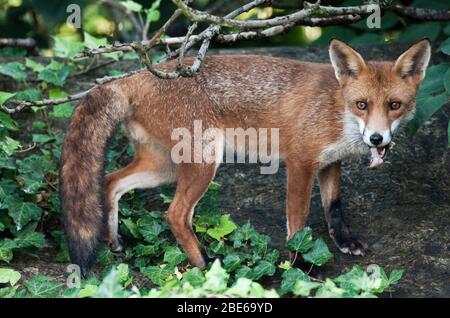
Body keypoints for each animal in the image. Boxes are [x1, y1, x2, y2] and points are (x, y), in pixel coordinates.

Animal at [58, 38, 430, 274]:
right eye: (362, 104)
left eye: (394, 105)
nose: (377, 138)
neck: (338, 110)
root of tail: (136, 76)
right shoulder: (301, 162)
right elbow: (298, 220)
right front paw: (301, 263)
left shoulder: (330, 163)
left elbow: (334, 207)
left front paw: (344, 242)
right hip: (204, 161)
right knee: (175, 214)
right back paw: (206, 264)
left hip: (164, 166)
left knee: (110, 182)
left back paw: (114, 242)